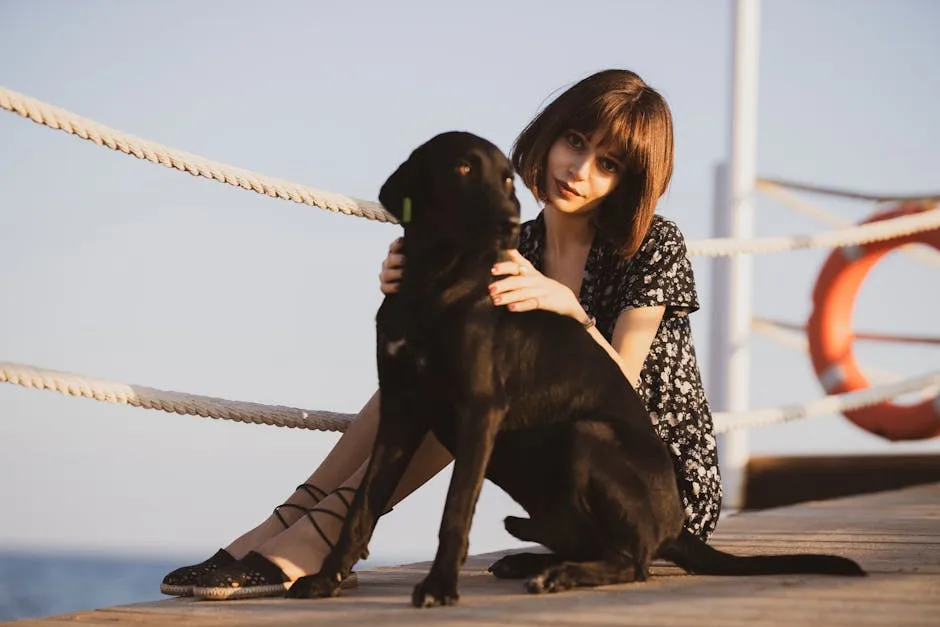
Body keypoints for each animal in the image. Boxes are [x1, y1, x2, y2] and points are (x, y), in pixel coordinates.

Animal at [288, 131, 868, 608]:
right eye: (463, 168)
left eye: (507, 178)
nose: (507, 223)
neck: (435, 280)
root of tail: (676, 526)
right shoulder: (403, 409)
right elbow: (363, 504)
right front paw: (325, 579)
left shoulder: (477, 409)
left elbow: (455, 510)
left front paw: (438, 587)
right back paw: (536, 561)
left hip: (583, 436)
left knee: (634, 562)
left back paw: (561, 574)